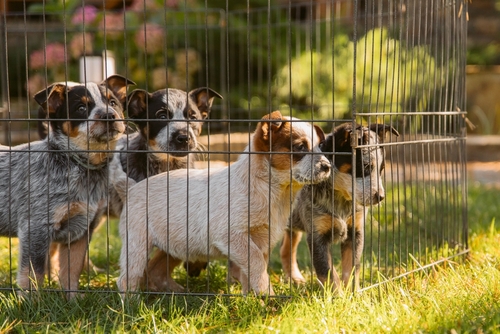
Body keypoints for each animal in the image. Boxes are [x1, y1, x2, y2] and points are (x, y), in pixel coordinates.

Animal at [0, 75, 134, 298]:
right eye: (81, 108)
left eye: (113, 102)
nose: (109, 115)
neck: (81, 167)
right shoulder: (36, 227)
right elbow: (33, 273)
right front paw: (31, 301)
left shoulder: (81, 229)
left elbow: (72, 269)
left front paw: (73, 299)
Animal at [117, 111, 332, 294]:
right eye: (300, 147)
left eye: (320, 147)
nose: (327, 166)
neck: (270, 190)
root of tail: (132, 189)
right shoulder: (233, 236)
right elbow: (257, 265)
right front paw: (268, 296)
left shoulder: (261, 240)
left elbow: (251, 273)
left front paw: (253, 300)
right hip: (137, 244)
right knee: (127, 278)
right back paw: (131, 304)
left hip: (173, 245)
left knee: (155, 270)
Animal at [282, 122, 398, 292]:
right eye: (365, 166)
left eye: (382, 169)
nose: (381, 197)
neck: (341, 199)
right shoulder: (317, 236)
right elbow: (327, 272)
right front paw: (338, 296)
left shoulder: (355, 231)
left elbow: (352, 268)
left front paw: (354, 293)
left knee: (286, 250)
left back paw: (296, 279)